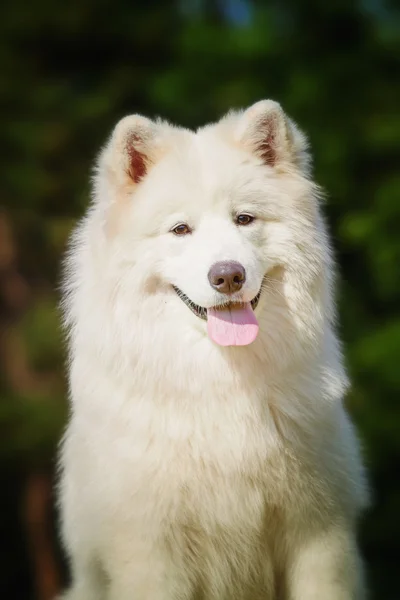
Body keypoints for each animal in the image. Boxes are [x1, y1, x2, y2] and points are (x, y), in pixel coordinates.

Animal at [58, 101, 368, 596]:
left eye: (244, 219)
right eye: (181, 229)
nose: (228, 275)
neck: (221, 381)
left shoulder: (319, 535)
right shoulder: (151, 553)